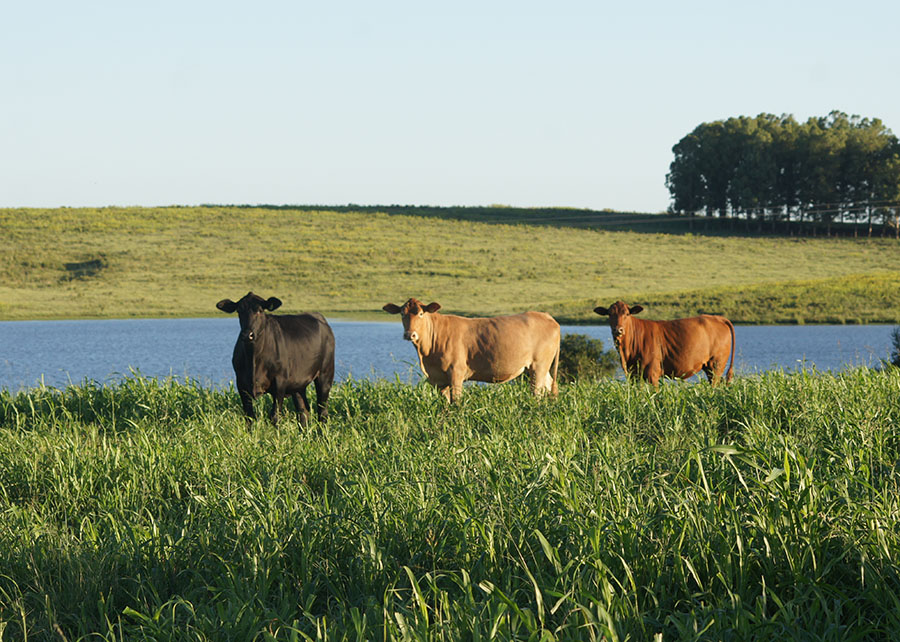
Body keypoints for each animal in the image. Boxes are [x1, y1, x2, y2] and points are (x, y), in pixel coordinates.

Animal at [216, 292, 336, 428]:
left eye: (260, 310)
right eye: (239, 311)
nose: (247, 335)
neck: (254, 359)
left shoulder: (280, 382)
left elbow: (275, 416)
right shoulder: (241, 383)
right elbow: (249, 417)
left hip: (325, 374)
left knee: (322, 411)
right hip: (298, 383)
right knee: (303, 411)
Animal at [382, 298, 564, 400]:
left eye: (420, 313)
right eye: (402, 313)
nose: (410, 334)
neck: (426, 355)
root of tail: (547, 316)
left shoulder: (456, 372)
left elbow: (456, 401)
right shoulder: (438, 378)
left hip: (539, 365)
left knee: (537, 392)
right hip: (540, 368)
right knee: (551, 387)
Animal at [596, 302, 736, 384]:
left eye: (626, 314)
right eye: (609, 314)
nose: (618, 330)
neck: (626, 353)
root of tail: (718, 318)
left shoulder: (652, 373)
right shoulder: (633, 375)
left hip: (716, 364)